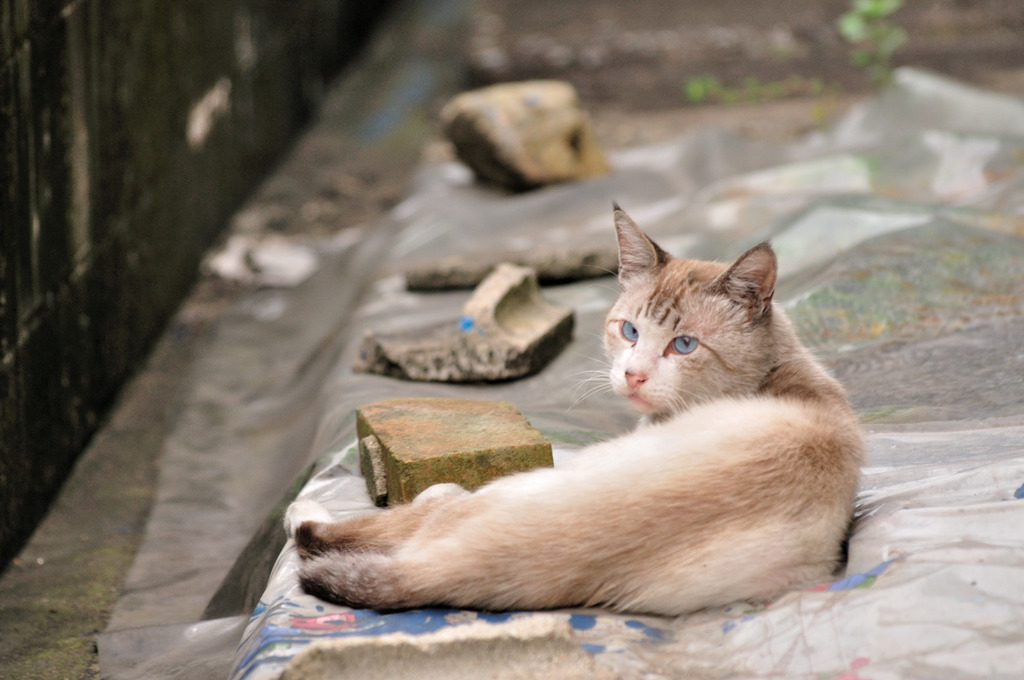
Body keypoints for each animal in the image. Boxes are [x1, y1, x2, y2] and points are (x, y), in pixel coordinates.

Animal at [282, 204, 864, 614]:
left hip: (503, 489)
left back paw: (307, 509)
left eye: (684, 346)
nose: (633, 375)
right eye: (629, 332)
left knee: (359, 528)